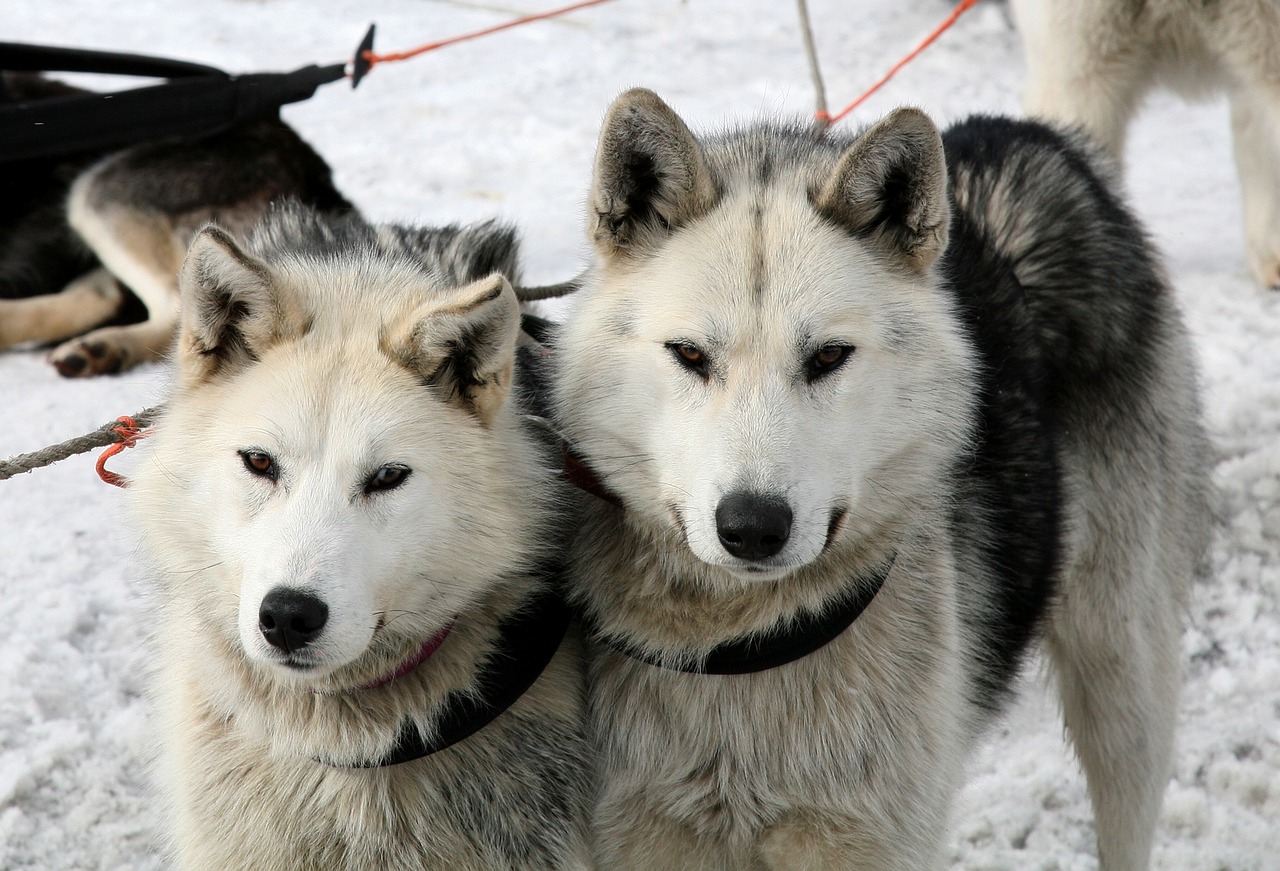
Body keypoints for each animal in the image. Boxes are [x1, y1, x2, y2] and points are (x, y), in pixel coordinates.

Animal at [550, 90, 1208, 871]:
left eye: (828, 356)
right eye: (689, 354)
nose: (752, 526)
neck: (744, 652)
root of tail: (1028, 132)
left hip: (1122, 678)